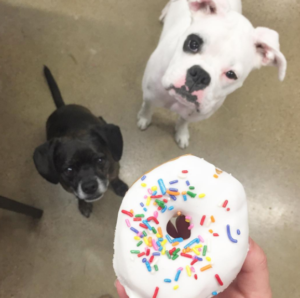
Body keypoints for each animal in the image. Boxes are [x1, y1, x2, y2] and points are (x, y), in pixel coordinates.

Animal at [33, 66, 128, 218]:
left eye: (100, 160)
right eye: (69, 170)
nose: (89, 187)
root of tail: (62, 107)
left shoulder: (114, 166)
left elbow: (114, 177)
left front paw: (119, 186)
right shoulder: (69, 188)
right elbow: (79, 196)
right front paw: (84, 205)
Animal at [137, 0, 288, 148]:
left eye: (231, 74)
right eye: (193, 43)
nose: (200, 76)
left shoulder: (193, 116)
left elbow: (183, 121)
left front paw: (181, 133)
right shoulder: (149, 96)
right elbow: (147, 108)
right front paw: (144, 119)